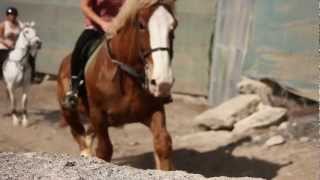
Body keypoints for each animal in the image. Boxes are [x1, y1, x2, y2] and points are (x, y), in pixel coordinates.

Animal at [57, 1, 178, 170]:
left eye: (173, 27)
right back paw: (85, 153)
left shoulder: (154, 110)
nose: (163, 82)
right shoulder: (98, 114)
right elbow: (104, 150)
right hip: (68, 110)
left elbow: (163, 143)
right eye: (141, 25)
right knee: (77, 133)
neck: (126, 77)